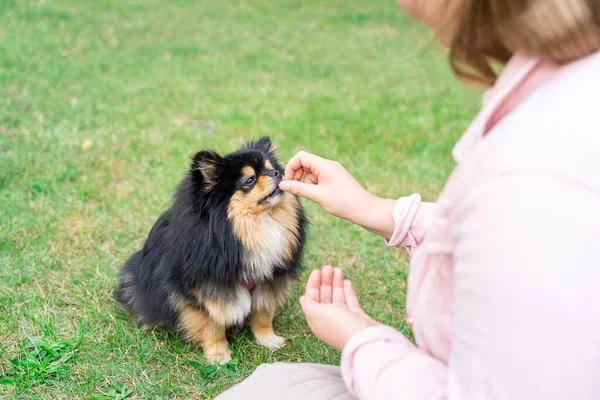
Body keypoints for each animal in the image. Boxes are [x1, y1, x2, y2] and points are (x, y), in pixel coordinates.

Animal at [115, 136, 308, 364]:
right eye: (250, 180)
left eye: (272, 170)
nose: (277, 174)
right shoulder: (205, 289)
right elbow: (212, 324)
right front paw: (218, 355)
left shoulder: (267, 281)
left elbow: (262, 314)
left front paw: (267, 339)